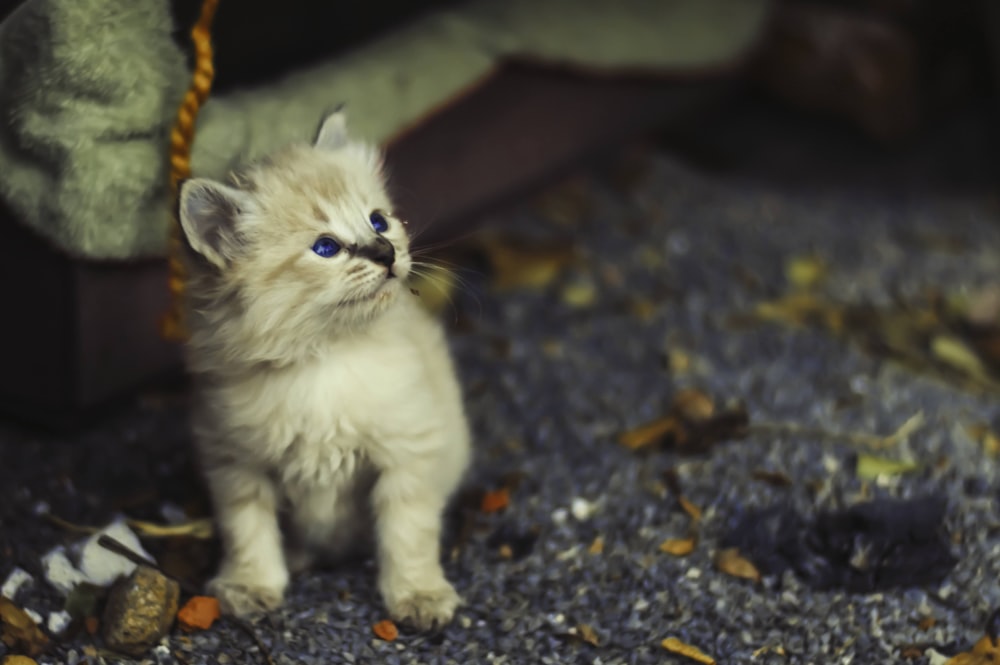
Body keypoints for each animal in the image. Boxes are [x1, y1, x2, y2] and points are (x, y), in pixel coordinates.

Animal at [177, 109, 472, 628]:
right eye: (326, 248)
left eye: (379, 221)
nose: (386, 253)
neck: (324, 358)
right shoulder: (237, 463)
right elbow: (247, 531)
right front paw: (251, 585)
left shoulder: (407, 454)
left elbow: (409, 533)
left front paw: (418, 594)